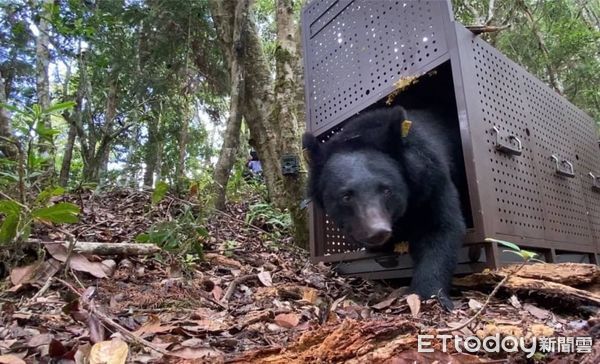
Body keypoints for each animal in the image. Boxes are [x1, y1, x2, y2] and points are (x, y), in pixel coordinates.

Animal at [302, 104, 466, 310]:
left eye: (386, 190)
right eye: (346, 196)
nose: (377, 232)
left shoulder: (431, 179)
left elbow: (439, 228)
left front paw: (428, 295)